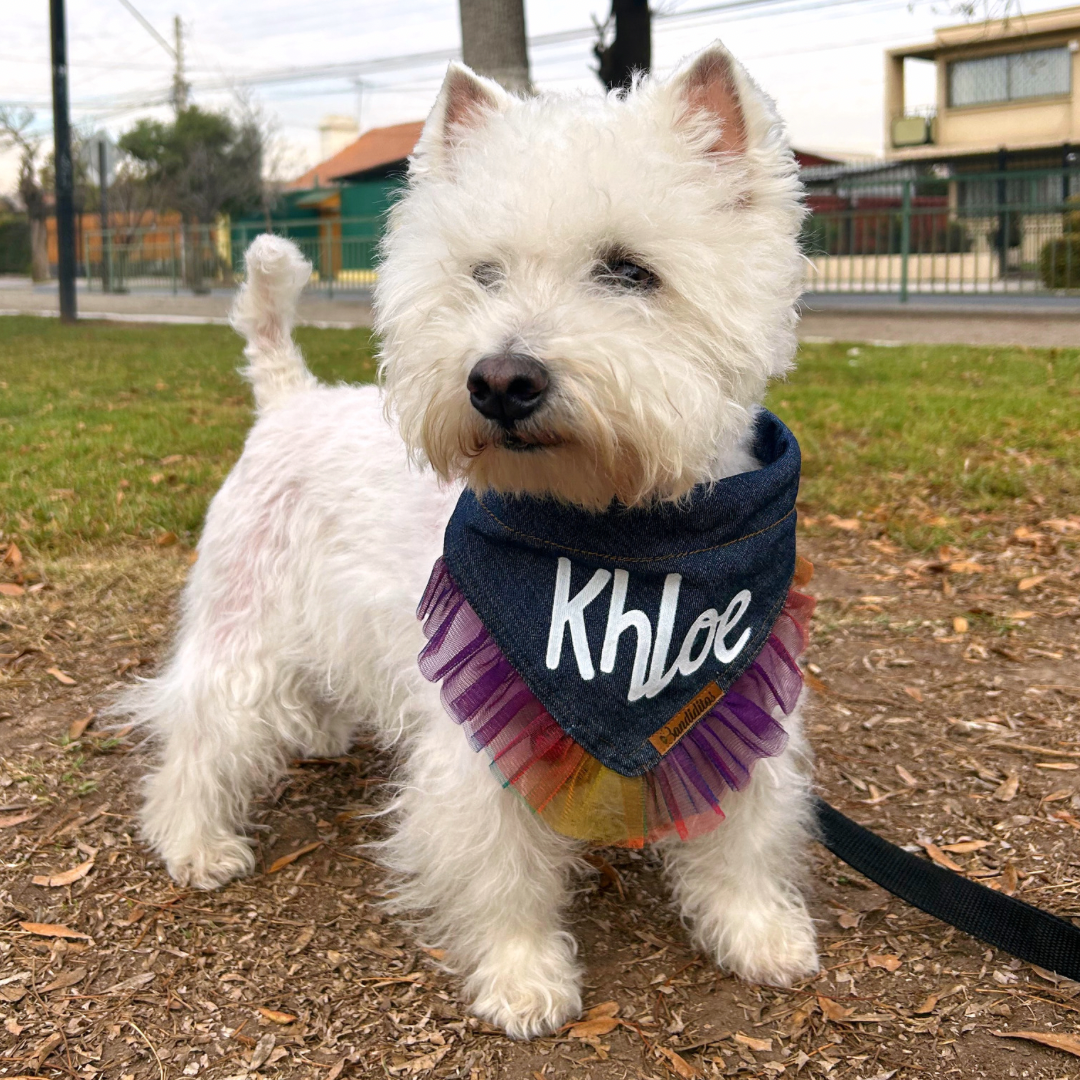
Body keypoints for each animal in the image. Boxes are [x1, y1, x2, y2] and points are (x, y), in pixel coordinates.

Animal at [122, 42, 812, 1036]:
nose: (500, 380)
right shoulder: (482, 729)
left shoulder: (737, 690)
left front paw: (759, 933)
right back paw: (196, 842)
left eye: (629, 271)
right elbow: (502, 865)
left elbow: (743, 828)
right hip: (242, 623)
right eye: (482, 273)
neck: (627, 541)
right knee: (199, 728)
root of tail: (289, 397)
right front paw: (524, 978)